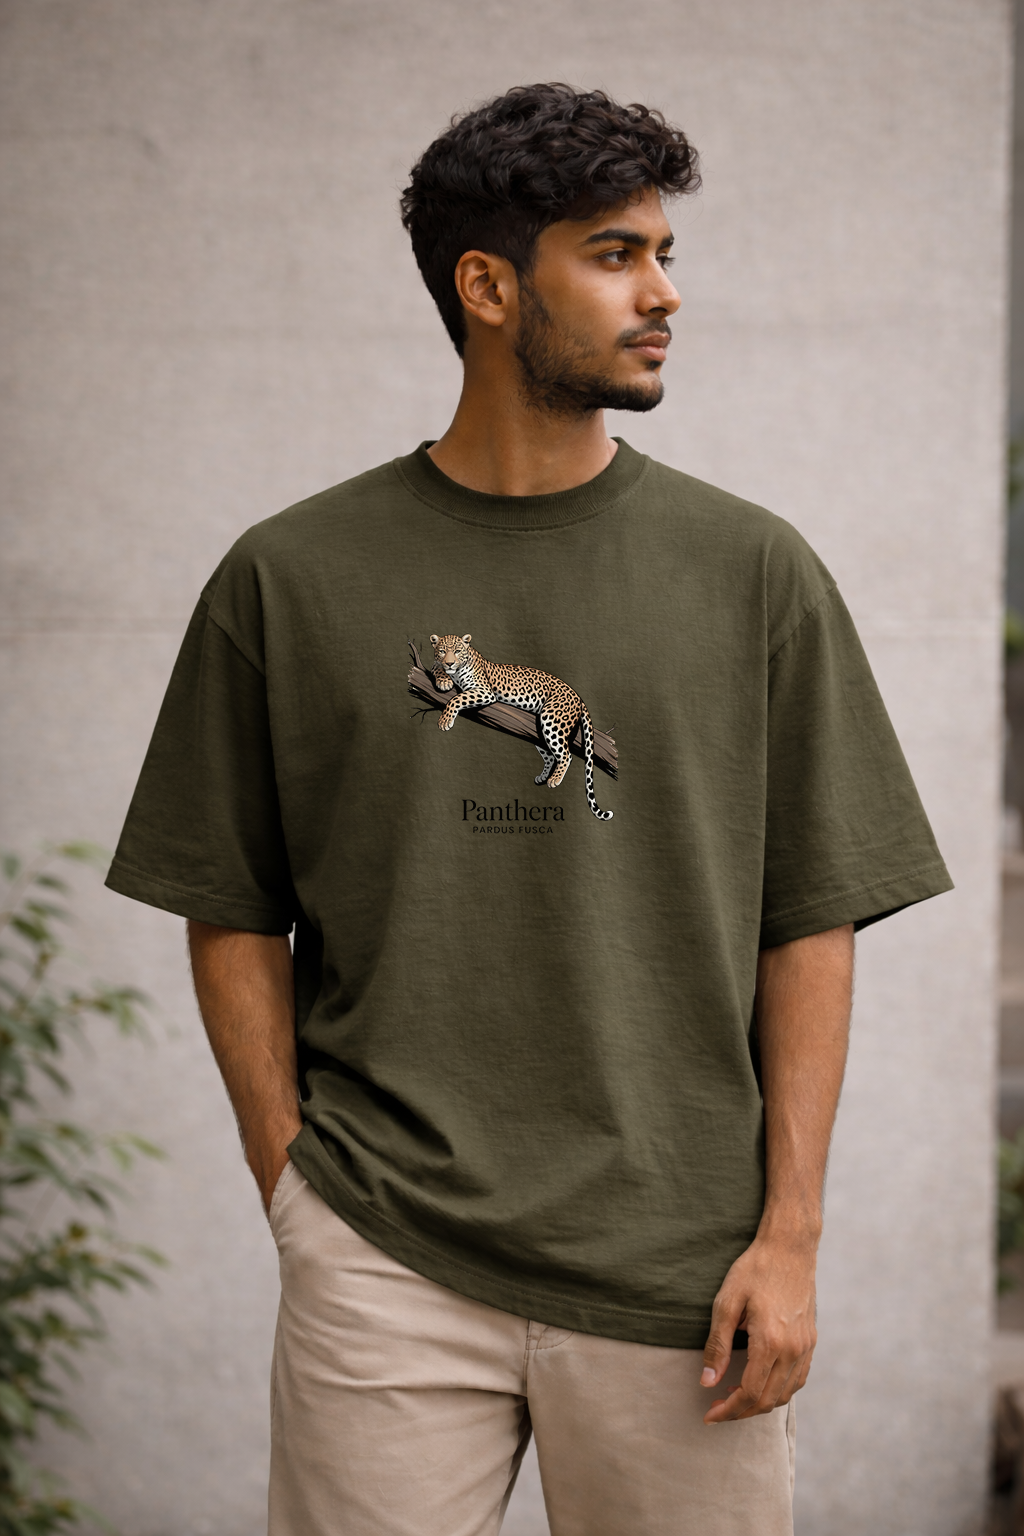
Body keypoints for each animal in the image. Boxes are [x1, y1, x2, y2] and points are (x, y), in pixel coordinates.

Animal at [428, 633, 613, 821]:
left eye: (458, 651)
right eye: (442, 651)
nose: (450, 663)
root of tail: (578, 697)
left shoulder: (484, 691)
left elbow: (457, 698)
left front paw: (445, 720)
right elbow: (435, 666)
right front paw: (444, 680)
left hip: (551, 719)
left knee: (566, 755)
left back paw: (554, 779)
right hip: (539, 732)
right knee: (550, 756)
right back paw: (543, 777)